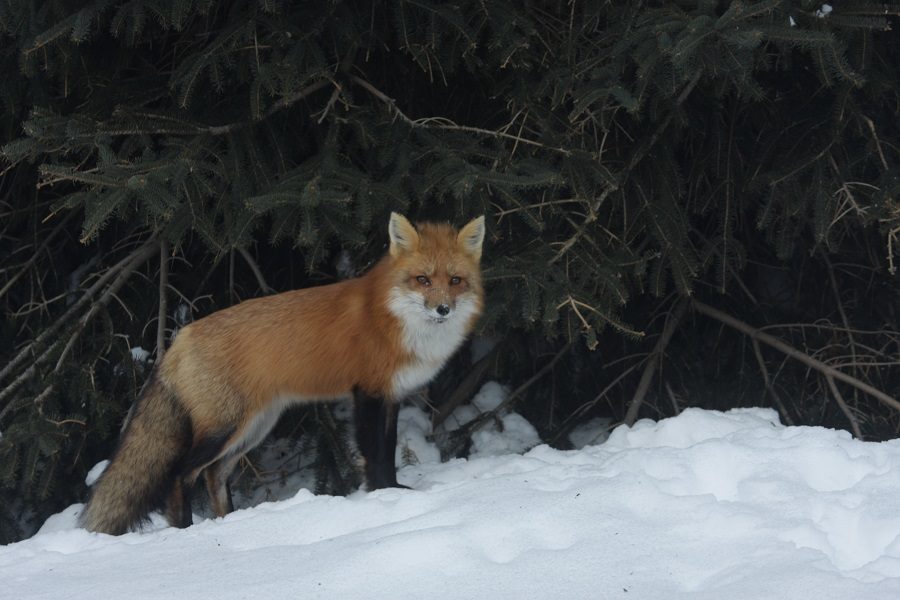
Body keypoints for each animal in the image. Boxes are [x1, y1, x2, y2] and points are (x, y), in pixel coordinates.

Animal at [80, 212, 482, 536]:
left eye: (455, 281)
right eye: (423, 280)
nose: (443, 309)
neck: (393, 319)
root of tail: (180, 337)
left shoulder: (392, 396)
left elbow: (387, 448)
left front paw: (395, 492)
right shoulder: (368, 392)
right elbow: (375, 454)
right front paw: (384, 496)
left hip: (253, 428)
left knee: (215, 475)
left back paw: (229, 521)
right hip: (226, 427)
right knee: (181, 474)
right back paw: (184, 529)